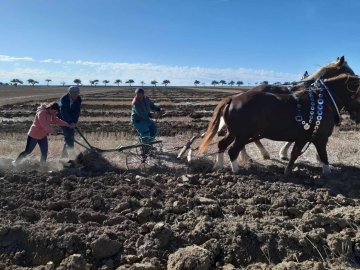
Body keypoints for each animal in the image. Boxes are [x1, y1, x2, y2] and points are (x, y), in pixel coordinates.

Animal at [200, 74, 360, 175]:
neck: (323, 100)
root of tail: (233, 98)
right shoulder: (320, 138)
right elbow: (324, 156)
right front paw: (327, 173)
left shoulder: (302, 138)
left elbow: (294, 154)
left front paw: (287, 171)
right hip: (242, 135)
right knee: (233, 151)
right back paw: (237, 170)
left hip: (234, 133)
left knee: (222, 145)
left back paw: (219, 166)